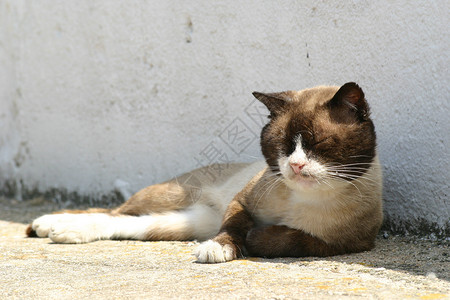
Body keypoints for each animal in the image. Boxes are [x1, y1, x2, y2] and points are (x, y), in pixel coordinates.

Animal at [26, 82, 382, 262]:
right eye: (282, 145)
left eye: (318, 143)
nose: (295, 165)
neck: (307, 200)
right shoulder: (241, 202)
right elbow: (234, 226)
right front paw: (220, 248)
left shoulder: (346, 244)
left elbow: (292, 239)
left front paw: (256, 240)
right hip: (170, 199)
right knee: (112, 212)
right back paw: (46, 224)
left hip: (182, 223)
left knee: (126, 224)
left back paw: (62, 231)